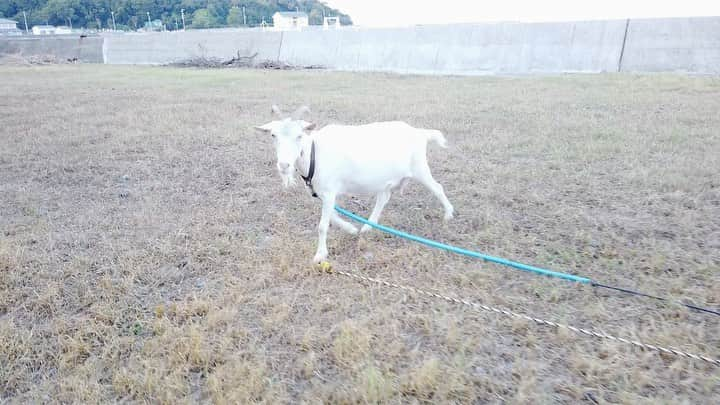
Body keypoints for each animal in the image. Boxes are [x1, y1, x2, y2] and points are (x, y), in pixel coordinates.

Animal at [256, 105, 452, 262]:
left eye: (299, 136)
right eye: (273, 135)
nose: (284, 165)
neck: (314, 153)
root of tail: (420, 133)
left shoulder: (329, 191)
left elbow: (322, 226)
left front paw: (320, 255)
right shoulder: (323, 193)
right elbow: (333, 216)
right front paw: (350, 229)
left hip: (420, 169)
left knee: (437, 188)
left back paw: (448, 214)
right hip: (386, 179)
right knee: (384, 197)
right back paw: (367, 227)